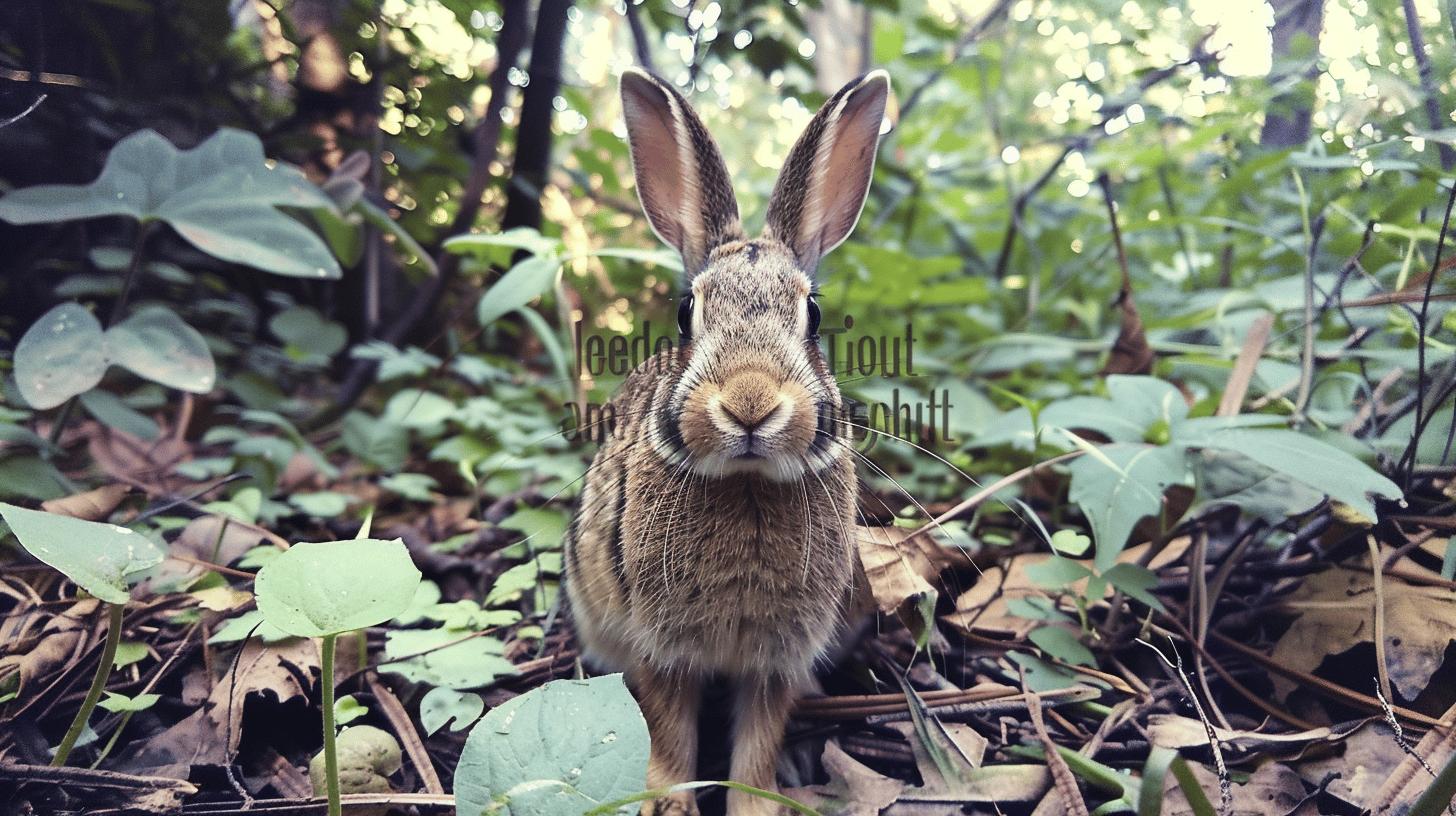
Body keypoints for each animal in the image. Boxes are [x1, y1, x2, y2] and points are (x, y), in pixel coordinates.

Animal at [564, 69, 885, 816]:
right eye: (687, 313)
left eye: (813, 316)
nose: (749, 405)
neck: (746, 483)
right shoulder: (659, 644)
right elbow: (667, 727)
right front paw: (666, 802)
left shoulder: (778, 656)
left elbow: (759, 740)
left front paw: (758, 803)